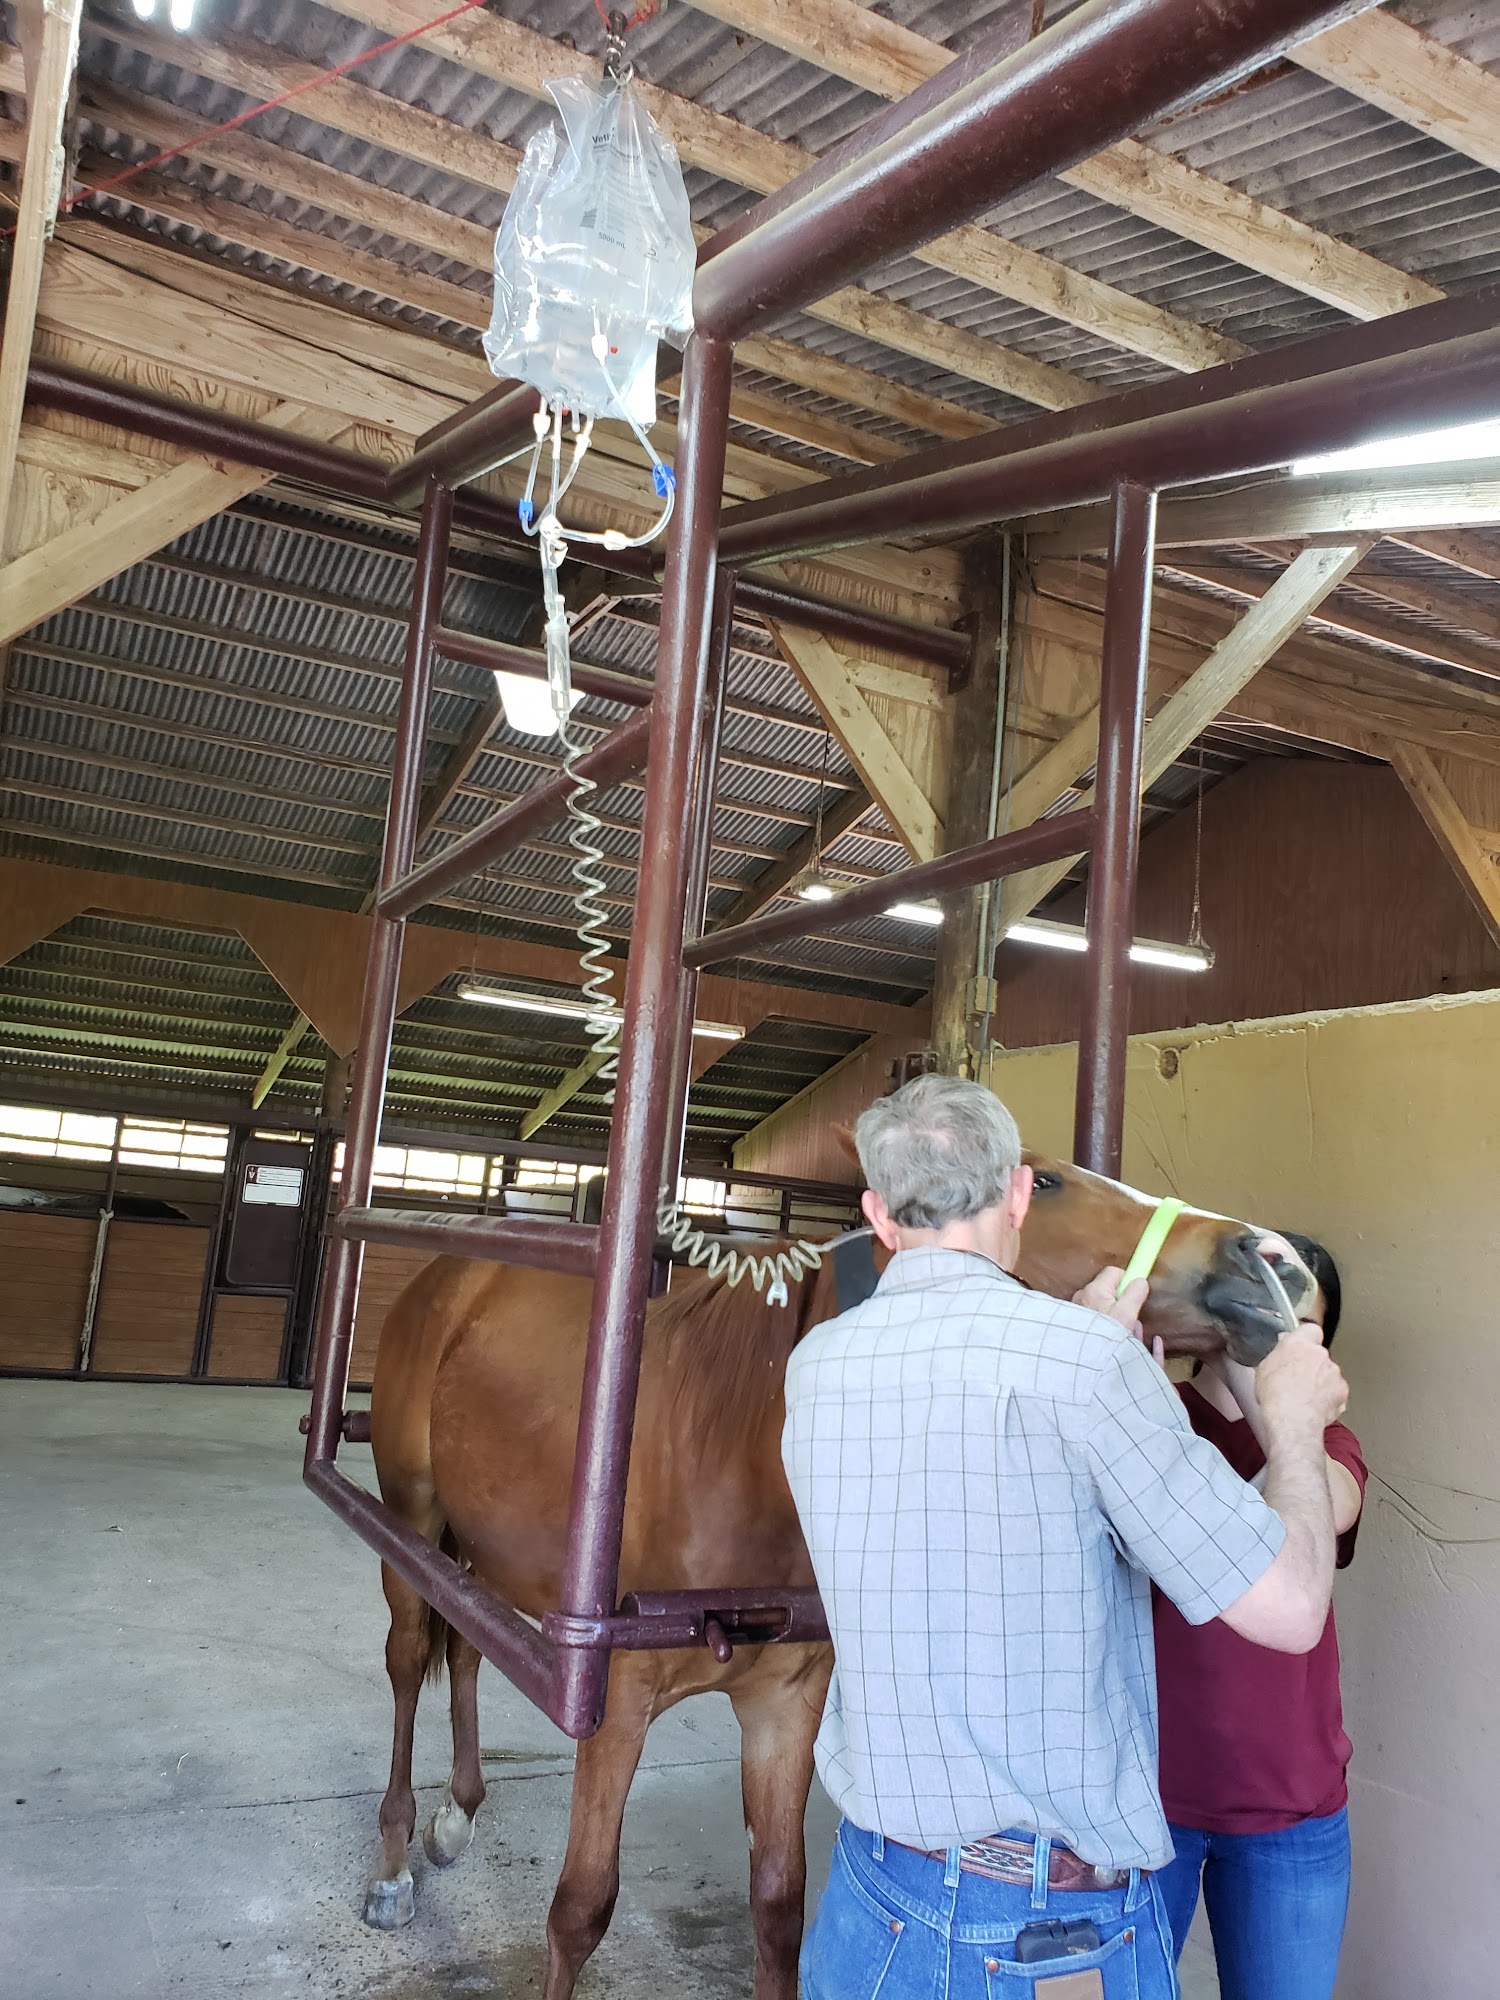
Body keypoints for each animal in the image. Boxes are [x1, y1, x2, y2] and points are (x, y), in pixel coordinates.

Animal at [358, 1152, 1312, 1992]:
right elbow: (581, 1909)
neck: (741, 1442)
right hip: (412, 1522)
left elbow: (780, 1909)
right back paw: (395, 1863)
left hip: (480, 1551)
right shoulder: (618, 1706)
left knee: (466, 1648)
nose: (1266, 1258)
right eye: (1044, 1181)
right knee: (407, 1663)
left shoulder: (783, 1710)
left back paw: (457, 1814)